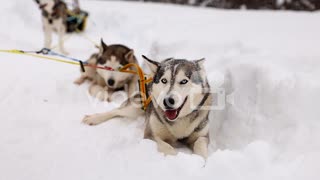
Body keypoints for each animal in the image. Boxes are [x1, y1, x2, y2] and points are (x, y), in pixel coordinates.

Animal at [82, 55, 212, 158]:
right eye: (164, 80)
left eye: (184, 81)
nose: (167, 101)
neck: (178, 121)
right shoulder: (151, 135)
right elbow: (168, 148)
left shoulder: (202, 136)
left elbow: (200, 144)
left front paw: (201, 161)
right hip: (135, 107)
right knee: (116, 111)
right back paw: (93, 118)